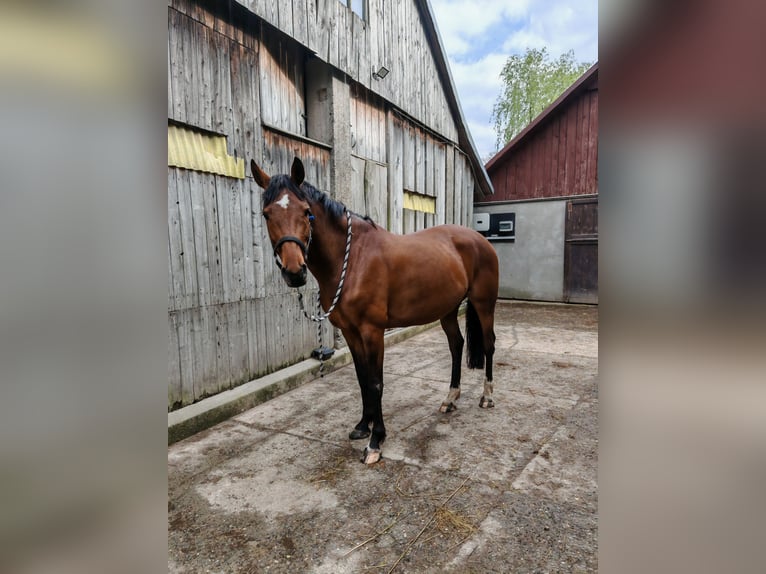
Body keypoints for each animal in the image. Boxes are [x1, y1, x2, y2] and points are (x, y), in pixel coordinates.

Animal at [251, 157, 499, 464]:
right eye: (266, 214)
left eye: (307, 212)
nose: (295, 272)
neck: (352, 259)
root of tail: (480, 239)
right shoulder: (350, 331)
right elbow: (362, 379)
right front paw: (362, 426)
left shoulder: (372, 331)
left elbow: (376, 382)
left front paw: (375, 441)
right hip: (448, 310)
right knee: (457, 345)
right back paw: (450, 399)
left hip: (484, 304)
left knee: (488, 345)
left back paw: (487, 397)